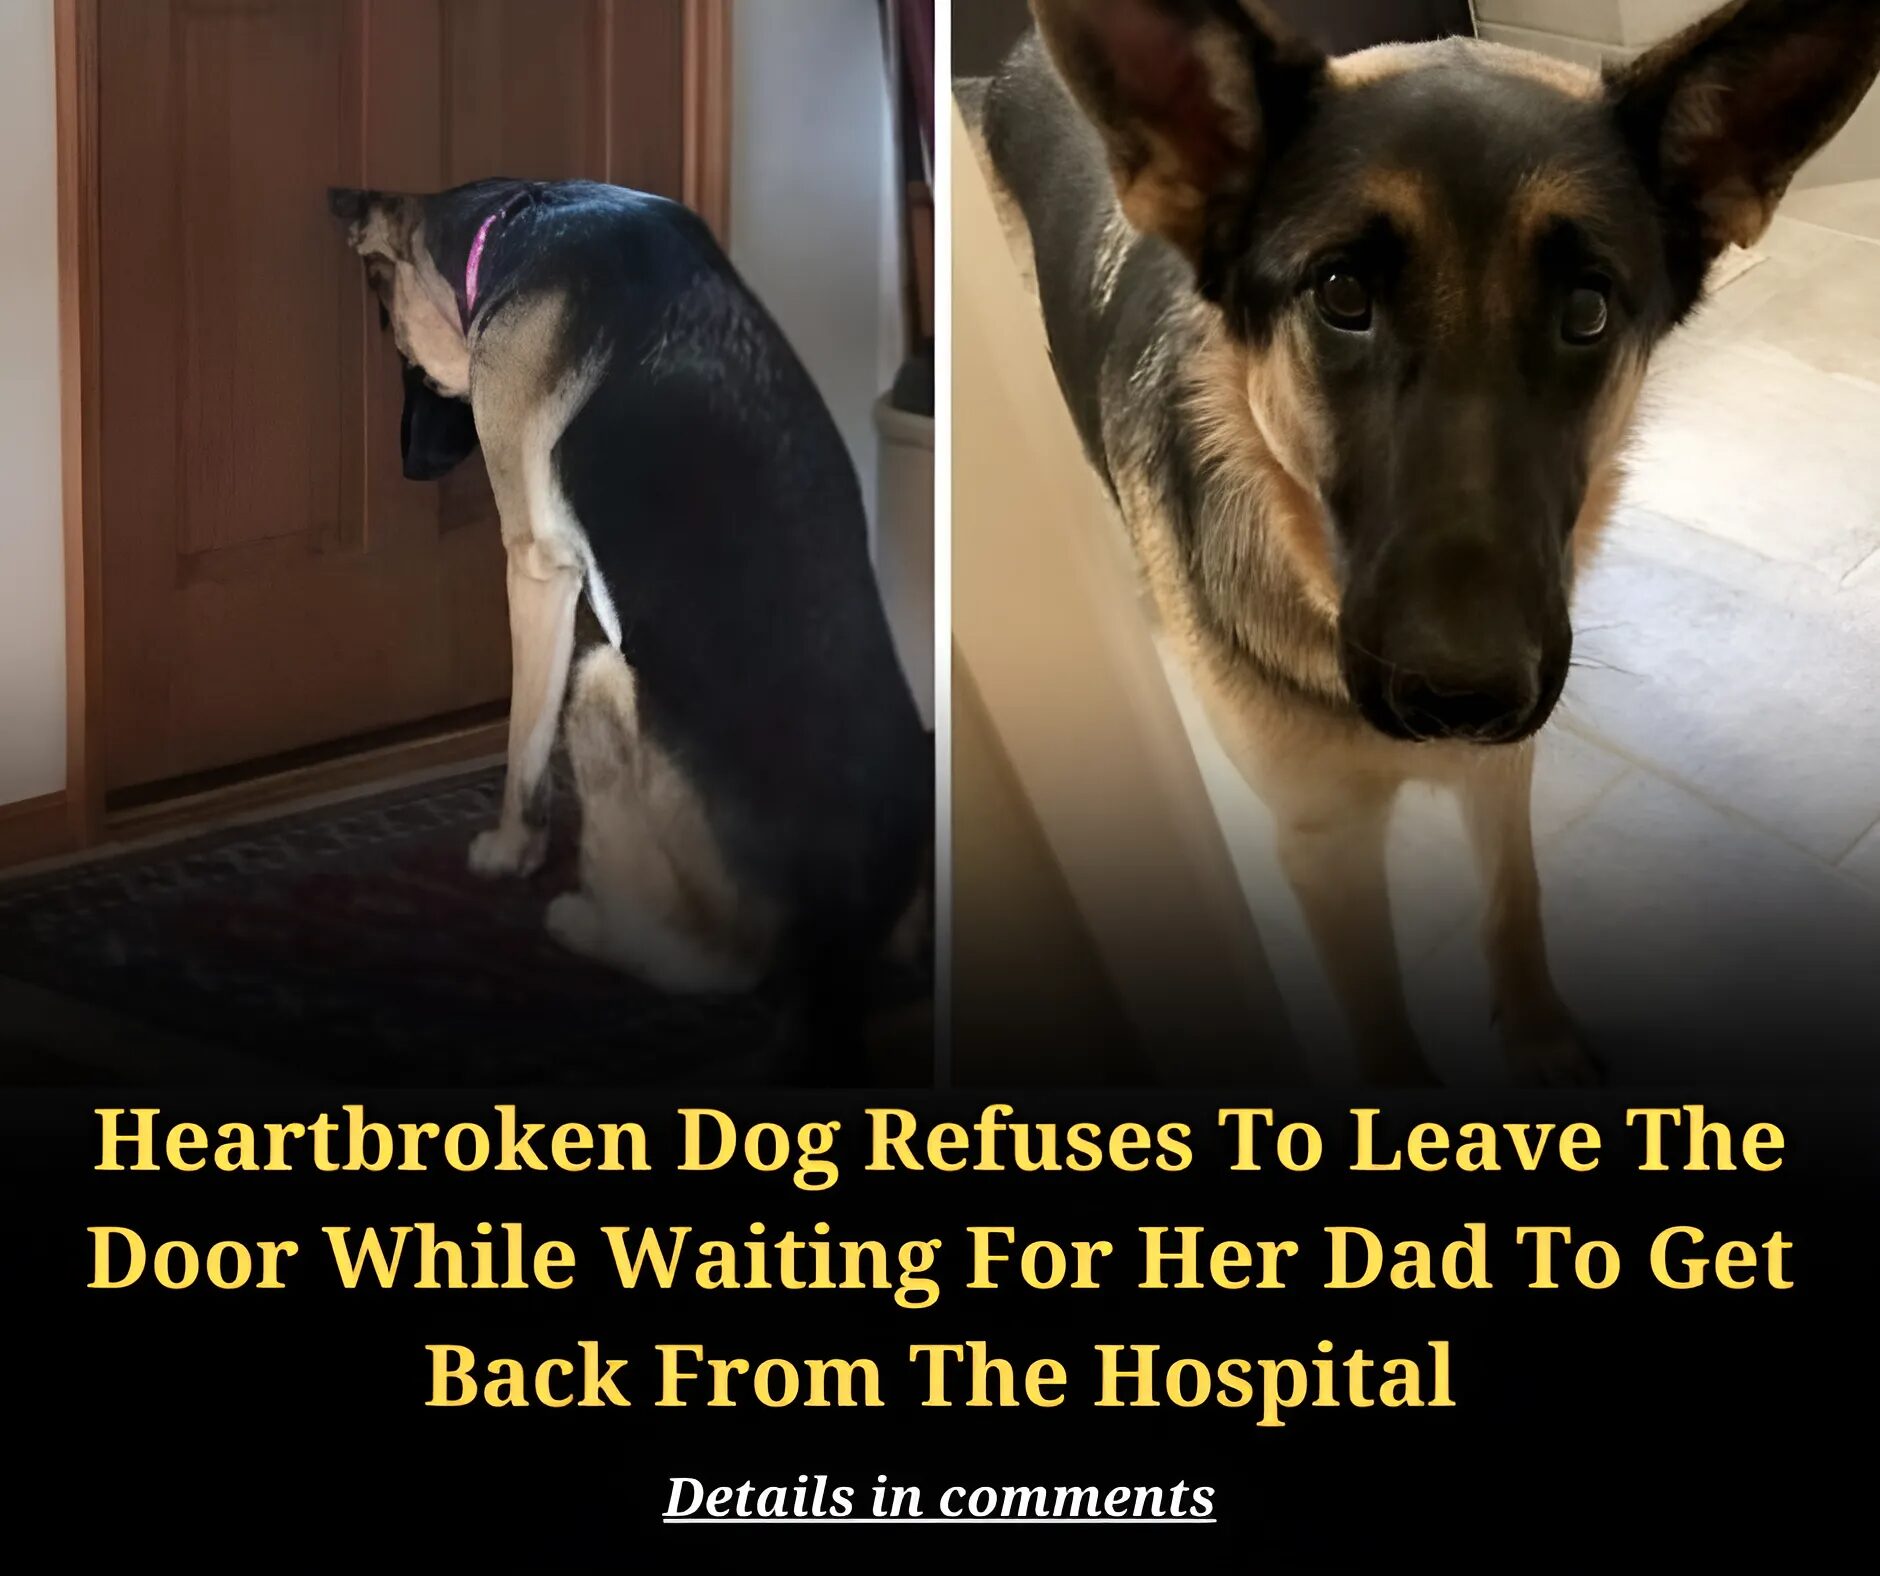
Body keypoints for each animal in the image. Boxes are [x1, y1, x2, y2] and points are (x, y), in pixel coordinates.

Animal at [334, 182, 936, 1023]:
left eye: (404, 356)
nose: (410, 468)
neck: (519, 221)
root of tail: (842, 932)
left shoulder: (537, 568)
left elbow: (523, 746)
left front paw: (510, 853)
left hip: (600, 682)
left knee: (720, 965)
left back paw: (589, 925)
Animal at [970, 0, 1880, 1083]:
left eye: (1586, 310)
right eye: (1339, 296)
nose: (1461, 696)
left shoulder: (1501, 768)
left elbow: (1514, 904)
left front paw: (1537, 1040)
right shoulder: (1324, 846)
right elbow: (1380, 1022)